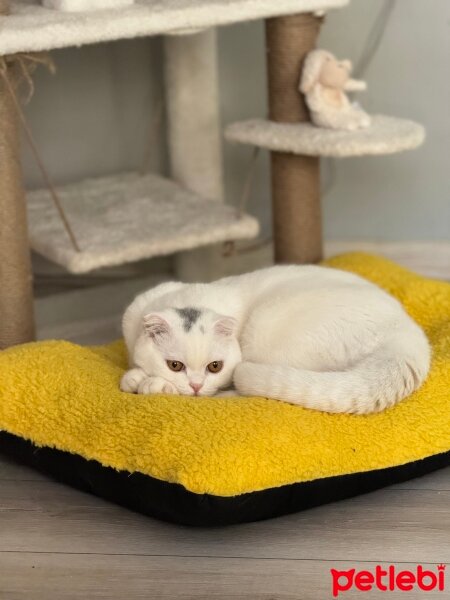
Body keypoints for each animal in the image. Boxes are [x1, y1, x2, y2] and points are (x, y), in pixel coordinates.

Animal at [121, 264, 430, 414]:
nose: (196, 386)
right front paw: (137, 376)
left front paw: (149, 383)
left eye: (214, 367)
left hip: (264, 334)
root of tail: (405, 334)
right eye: (175, 365)